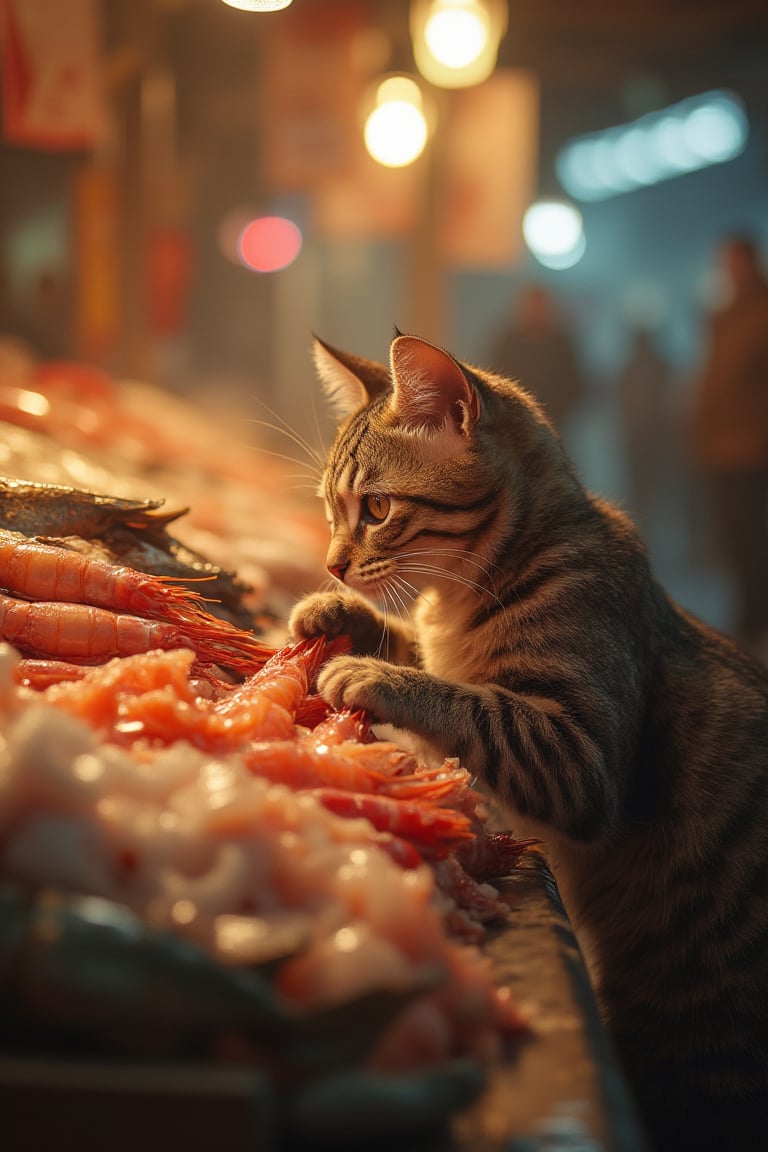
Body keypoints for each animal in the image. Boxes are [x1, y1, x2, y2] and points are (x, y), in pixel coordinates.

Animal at [287, 329, 768, 1147]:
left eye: (376, 508)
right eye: (328, 508)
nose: (330, 563)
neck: (460, 603)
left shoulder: (575, 755)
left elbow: (468, 700)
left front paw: (368, 672)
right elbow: (421, 652)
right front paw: (334, 615)